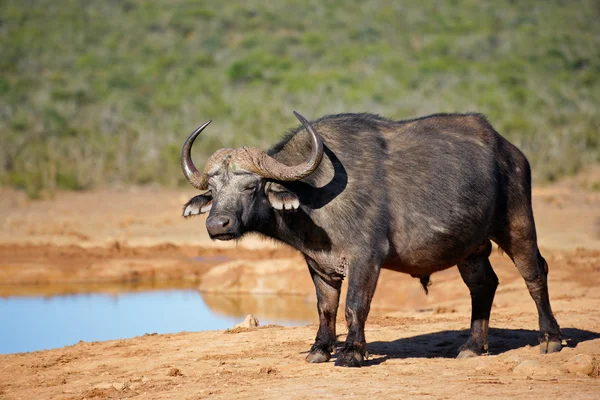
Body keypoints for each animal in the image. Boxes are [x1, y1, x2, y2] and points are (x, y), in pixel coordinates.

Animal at [180, 111, 560, 368]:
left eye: (250, 186)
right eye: (213, 189)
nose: (217, 224)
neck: (314, 197)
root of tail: (510, 152)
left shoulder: (366, 258)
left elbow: (354, 305)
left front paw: (351, 353)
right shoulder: (319, 264)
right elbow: (325, 308)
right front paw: (320, 350)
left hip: (517, 225)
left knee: (534, 274)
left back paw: (551, 339)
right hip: (470, 249)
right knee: (483, 285)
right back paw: (472, 346)